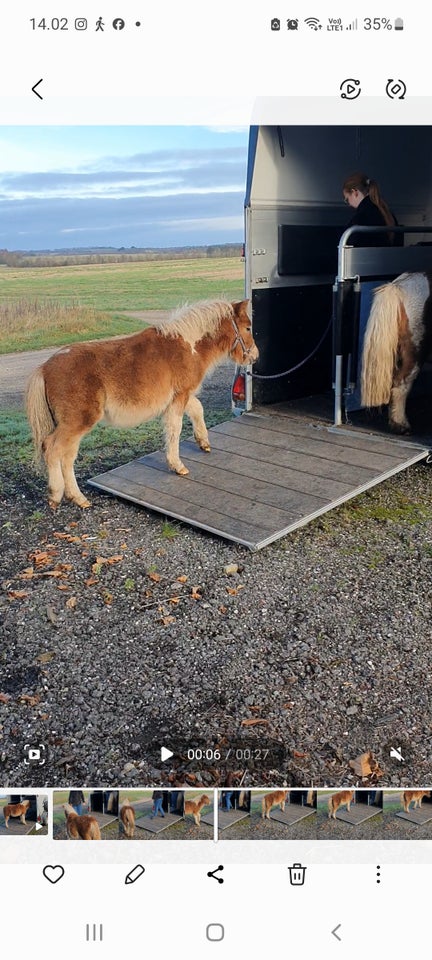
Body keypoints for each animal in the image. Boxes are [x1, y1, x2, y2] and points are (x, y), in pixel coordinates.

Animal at [26, 298, 256, 510]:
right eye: (248, 327)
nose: (254, 356)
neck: (189, 346)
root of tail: (45, 368)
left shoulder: (182, 396)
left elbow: (197, 410)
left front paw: (204, 443)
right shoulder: (179, 398)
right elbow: (175, 428)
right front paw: (177, 465)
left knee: (67, 456)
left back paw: (77, 498)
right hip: (77, 422)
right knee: (53, 449)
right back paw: (57, 495)